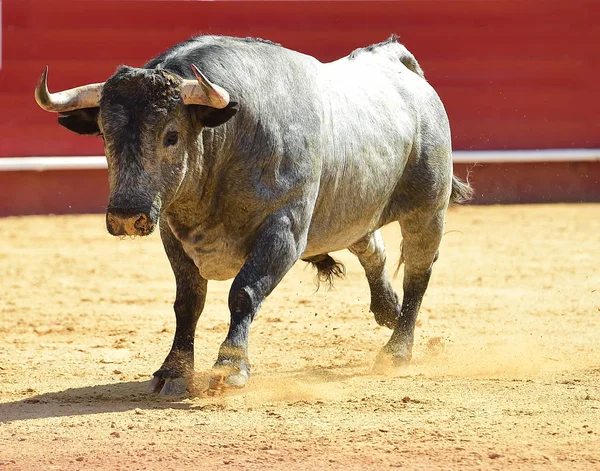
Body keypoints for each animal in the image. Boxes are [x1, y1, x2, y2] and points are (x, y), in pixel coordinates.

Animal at [34, 34, 474, 394]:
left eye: (171, 136)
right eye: (105, 136)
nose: (127, 215)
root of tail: (395, 60)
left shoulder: (284, 229)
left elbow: (243, 292)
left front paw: (230, 367)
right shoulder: (173, 236)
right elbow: (187, 303)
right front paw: (172, 372)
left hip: (427, 207)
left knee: (418, 270)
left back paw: (398, 348)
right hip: (350, 208)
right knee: (371, 248)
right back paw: (390, 311)